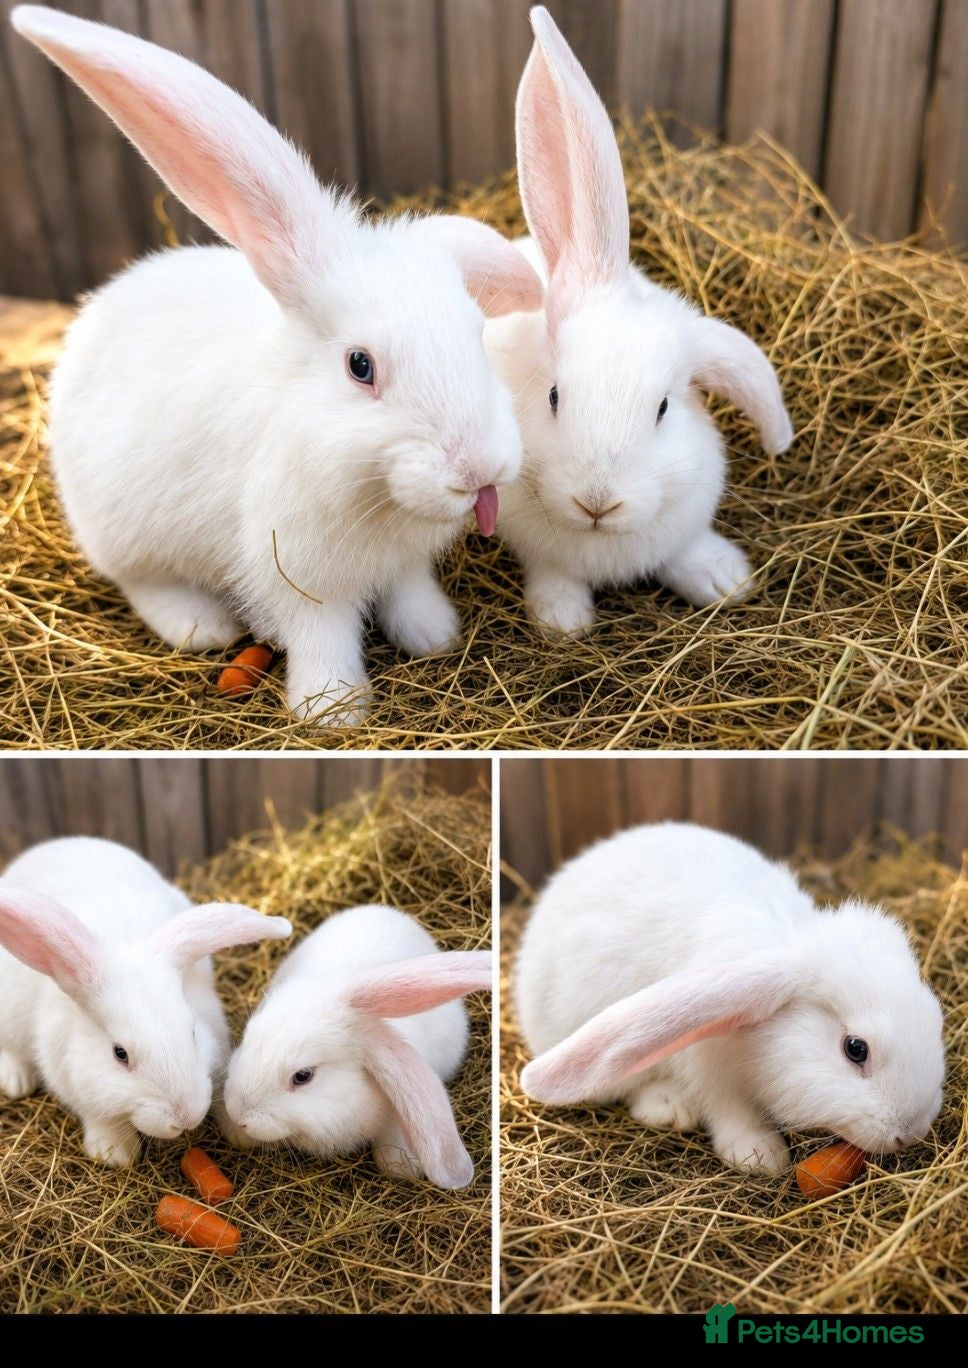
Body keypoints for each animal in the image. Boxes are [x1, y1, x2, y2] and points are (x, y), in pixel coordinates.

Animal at [0, 836, 292, 1167]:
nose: (185, 1117)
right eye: (120, 1054)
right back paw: (16, 1081)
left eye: (192, 1032)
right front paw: (116, 1153)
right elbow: (100, 1116)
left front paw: (240, 1133)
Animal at [11, 7, 543, 725]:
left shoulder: (401, 564)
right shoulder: (298, 576)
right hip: (120, 529)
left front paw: (434, 635)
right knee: (140, 581)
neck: (374, 493)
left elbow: (409, 592)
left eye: (475, 334)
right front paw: (334, 709)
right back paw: (199, 624)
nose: (481, 468)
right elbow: (323, 637)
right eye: (360, 366)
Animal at [484, 6, 794, 635]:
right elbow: (553, 575)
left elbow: (687, 551)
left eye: (664, 409)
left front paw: (727, 581)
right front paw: (563, 621)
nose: (597, 502)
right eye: (554, 397)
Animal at [515, 822, 945, 1174]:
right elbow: (729, 1110)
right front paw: (761, 1157)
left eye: (935, 1019)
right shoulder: (710, 1067)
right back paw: (669, 1106)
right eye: (856, 1049)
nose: (912, 1131)